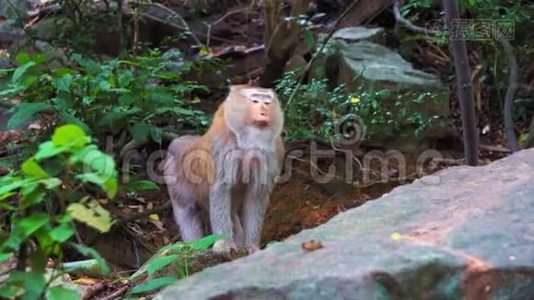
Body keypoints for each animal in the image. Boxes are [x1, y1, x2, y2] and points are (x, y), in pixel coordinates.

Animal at [163, 84, 286, 255]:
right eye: (255, 100)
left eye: (267, 101)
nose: (264, 110)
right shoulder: (222, 144)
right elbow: (220, 189)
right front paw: (223, 244)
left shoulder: (274, 152)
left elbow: (257, 195)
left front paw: (252, 246)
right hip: (174, 181)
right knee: (187, 212)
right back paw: (194, 248)